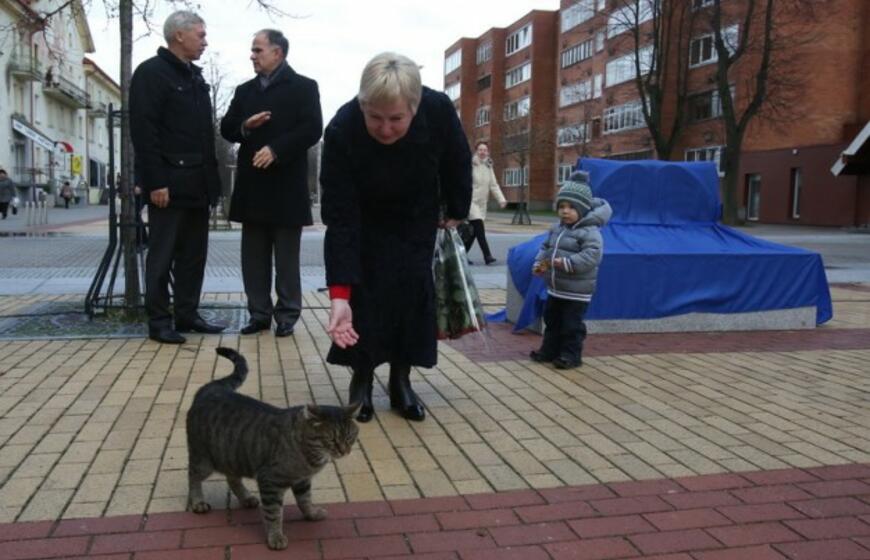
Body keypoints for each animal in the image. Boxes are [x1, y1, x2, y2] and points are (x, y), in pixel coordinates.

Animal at [187, 346, 362, 552]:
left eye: (349, 437)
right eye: (332, 439)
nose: (344, 451)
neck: (309, 454)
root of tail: (211, 387)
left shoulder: (302, 480)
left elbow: (305, 500)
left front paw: (311, 513)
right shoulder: (269, 481)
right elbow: (274, 513)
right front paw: (276, 537)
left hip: (233, 455)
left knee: (232, 478)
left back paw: (246, 498)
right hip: (203, 459)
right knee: (193, 476)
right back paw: (198, 502)